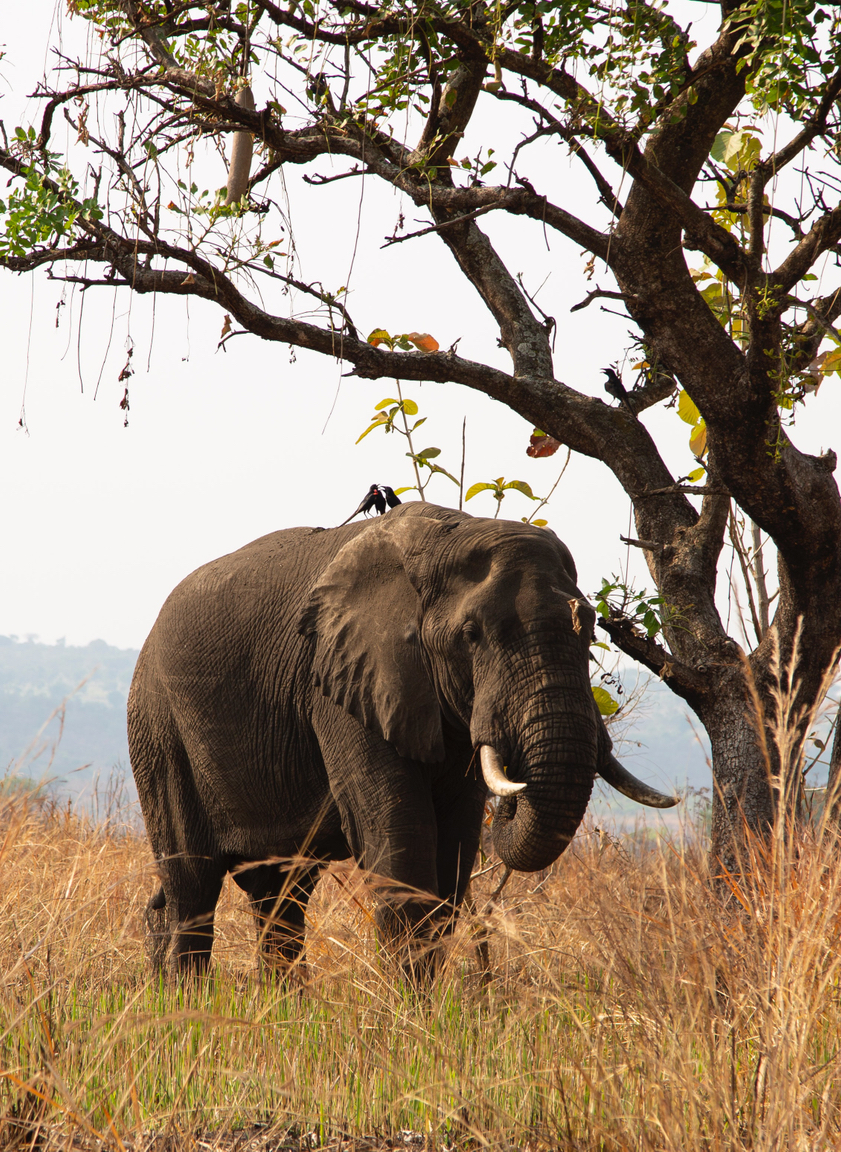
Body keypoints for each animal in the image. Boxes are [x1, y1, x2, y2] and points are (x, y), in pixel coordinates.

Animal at [128, 501, 676, 978]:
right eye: (471, 635)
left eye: (591, 628)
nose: (516, 792)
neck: (449, 532)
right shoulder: (340, 681)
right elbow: (399, 837)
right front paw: (414, 1017)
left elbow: (453, 850)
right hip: (158, 729)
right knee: (192, 886)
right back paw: (189, 1000)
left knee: (279, 892)